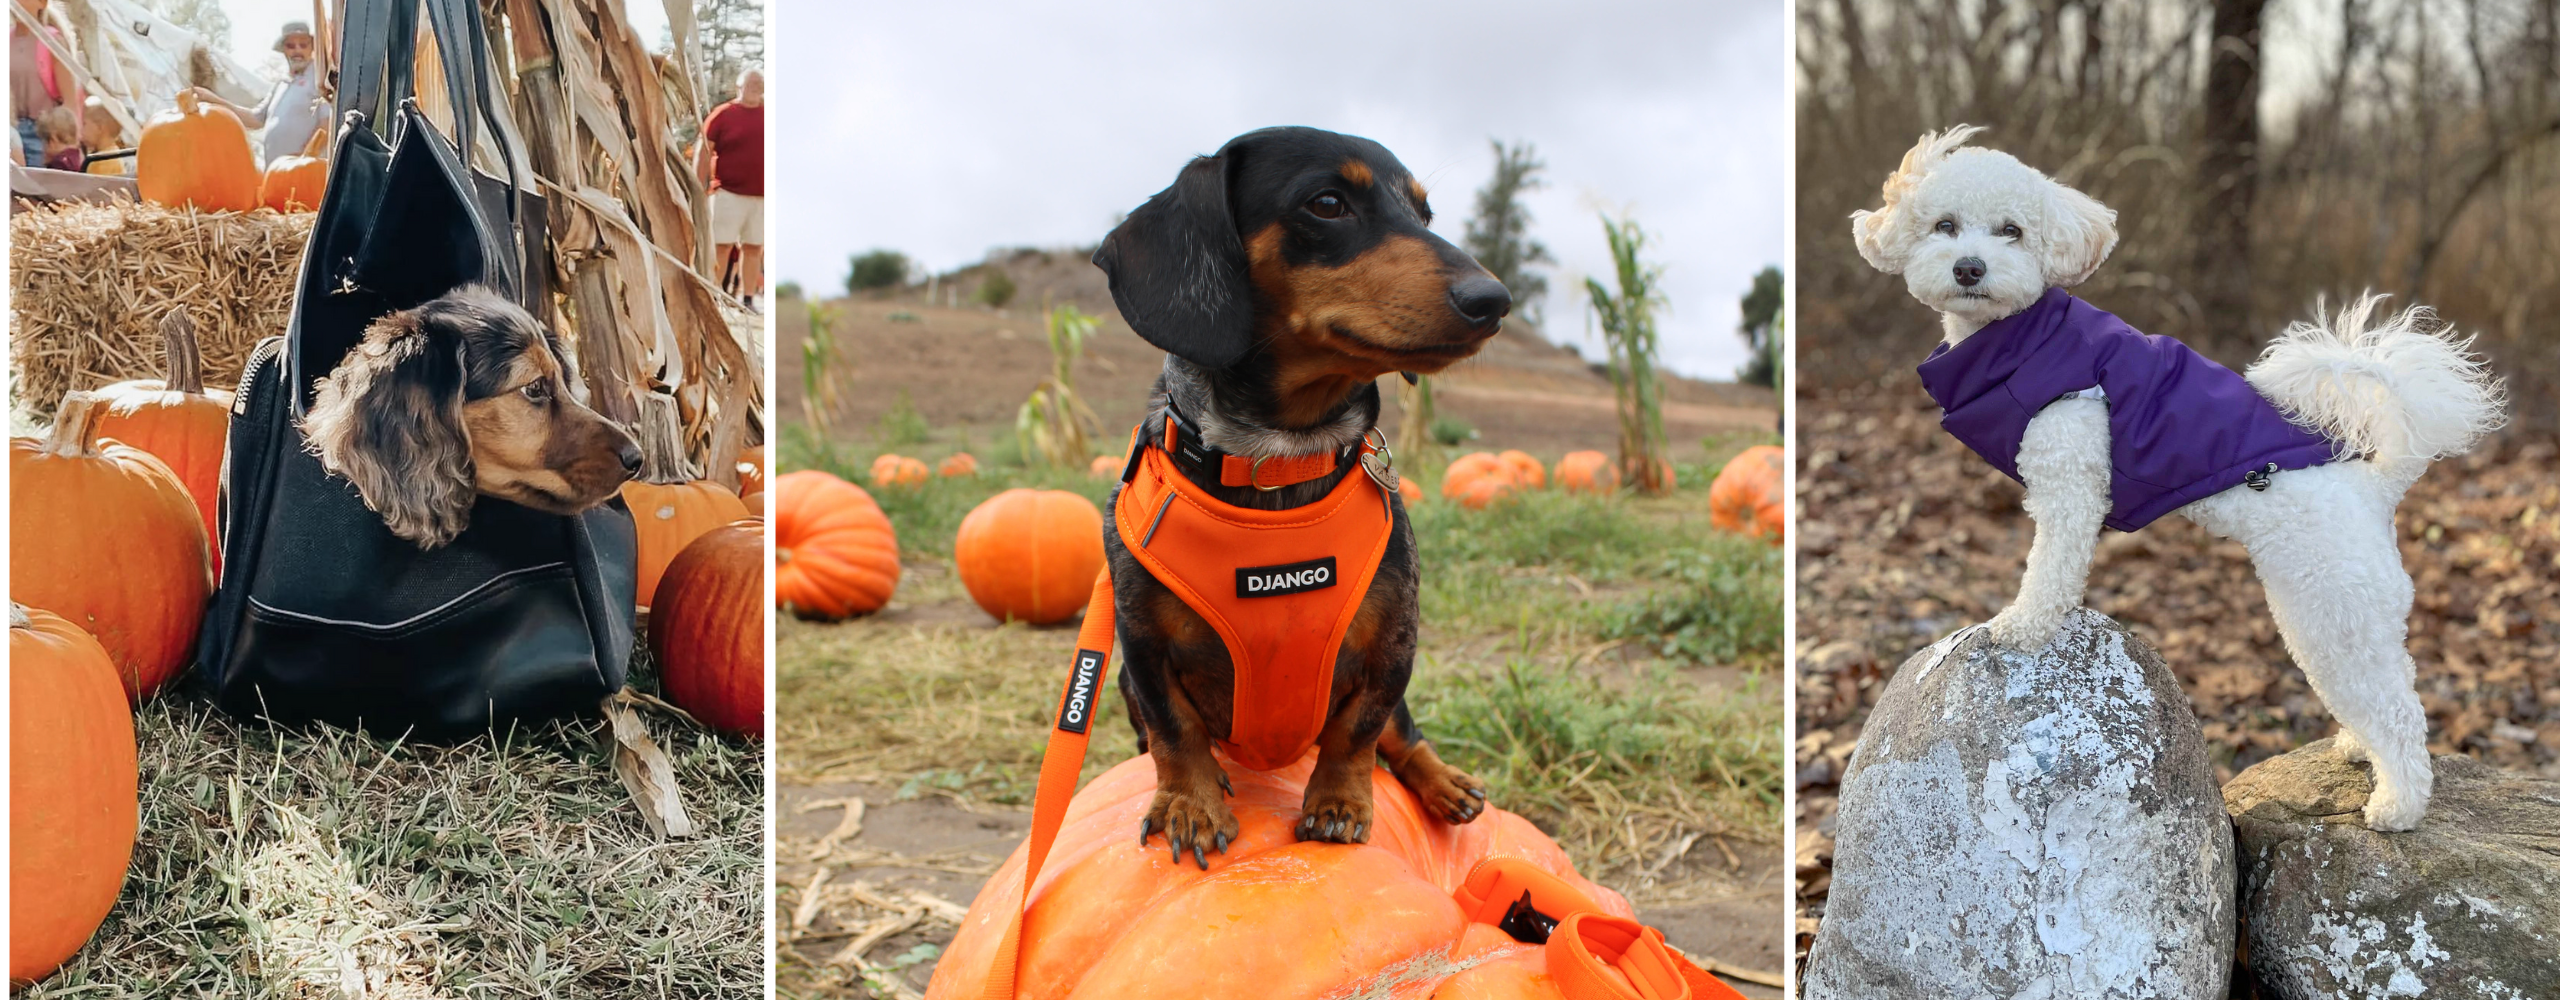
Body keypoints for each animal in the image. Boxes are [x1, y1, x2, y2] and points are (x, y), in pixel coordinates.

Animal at [1090, 125, 1505, 864]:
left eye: (1424, 215)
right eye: (1328, 203)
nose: (1495, 300)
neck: (1277, 460)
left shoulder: (1392, 645)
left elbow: (1358, 733)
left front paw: (1337, 803)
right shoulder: (1141, 650)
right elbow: (1175, 732)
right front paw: (1189, 804)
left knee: (1403, 736)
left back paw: (1442, 782)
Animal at [1853, 125, 2508, 828]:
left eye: (2012, 231)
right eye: (1943, 226)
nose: (1969, 268)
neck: (2021, 341)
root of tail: (2376, 486)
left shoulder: (2070, 475)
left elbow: (2051, 567)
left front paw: (2023, 625)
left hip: (2333, 612)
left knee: (2399, 709)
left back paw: (2398, 805)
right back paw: (2360, 749)